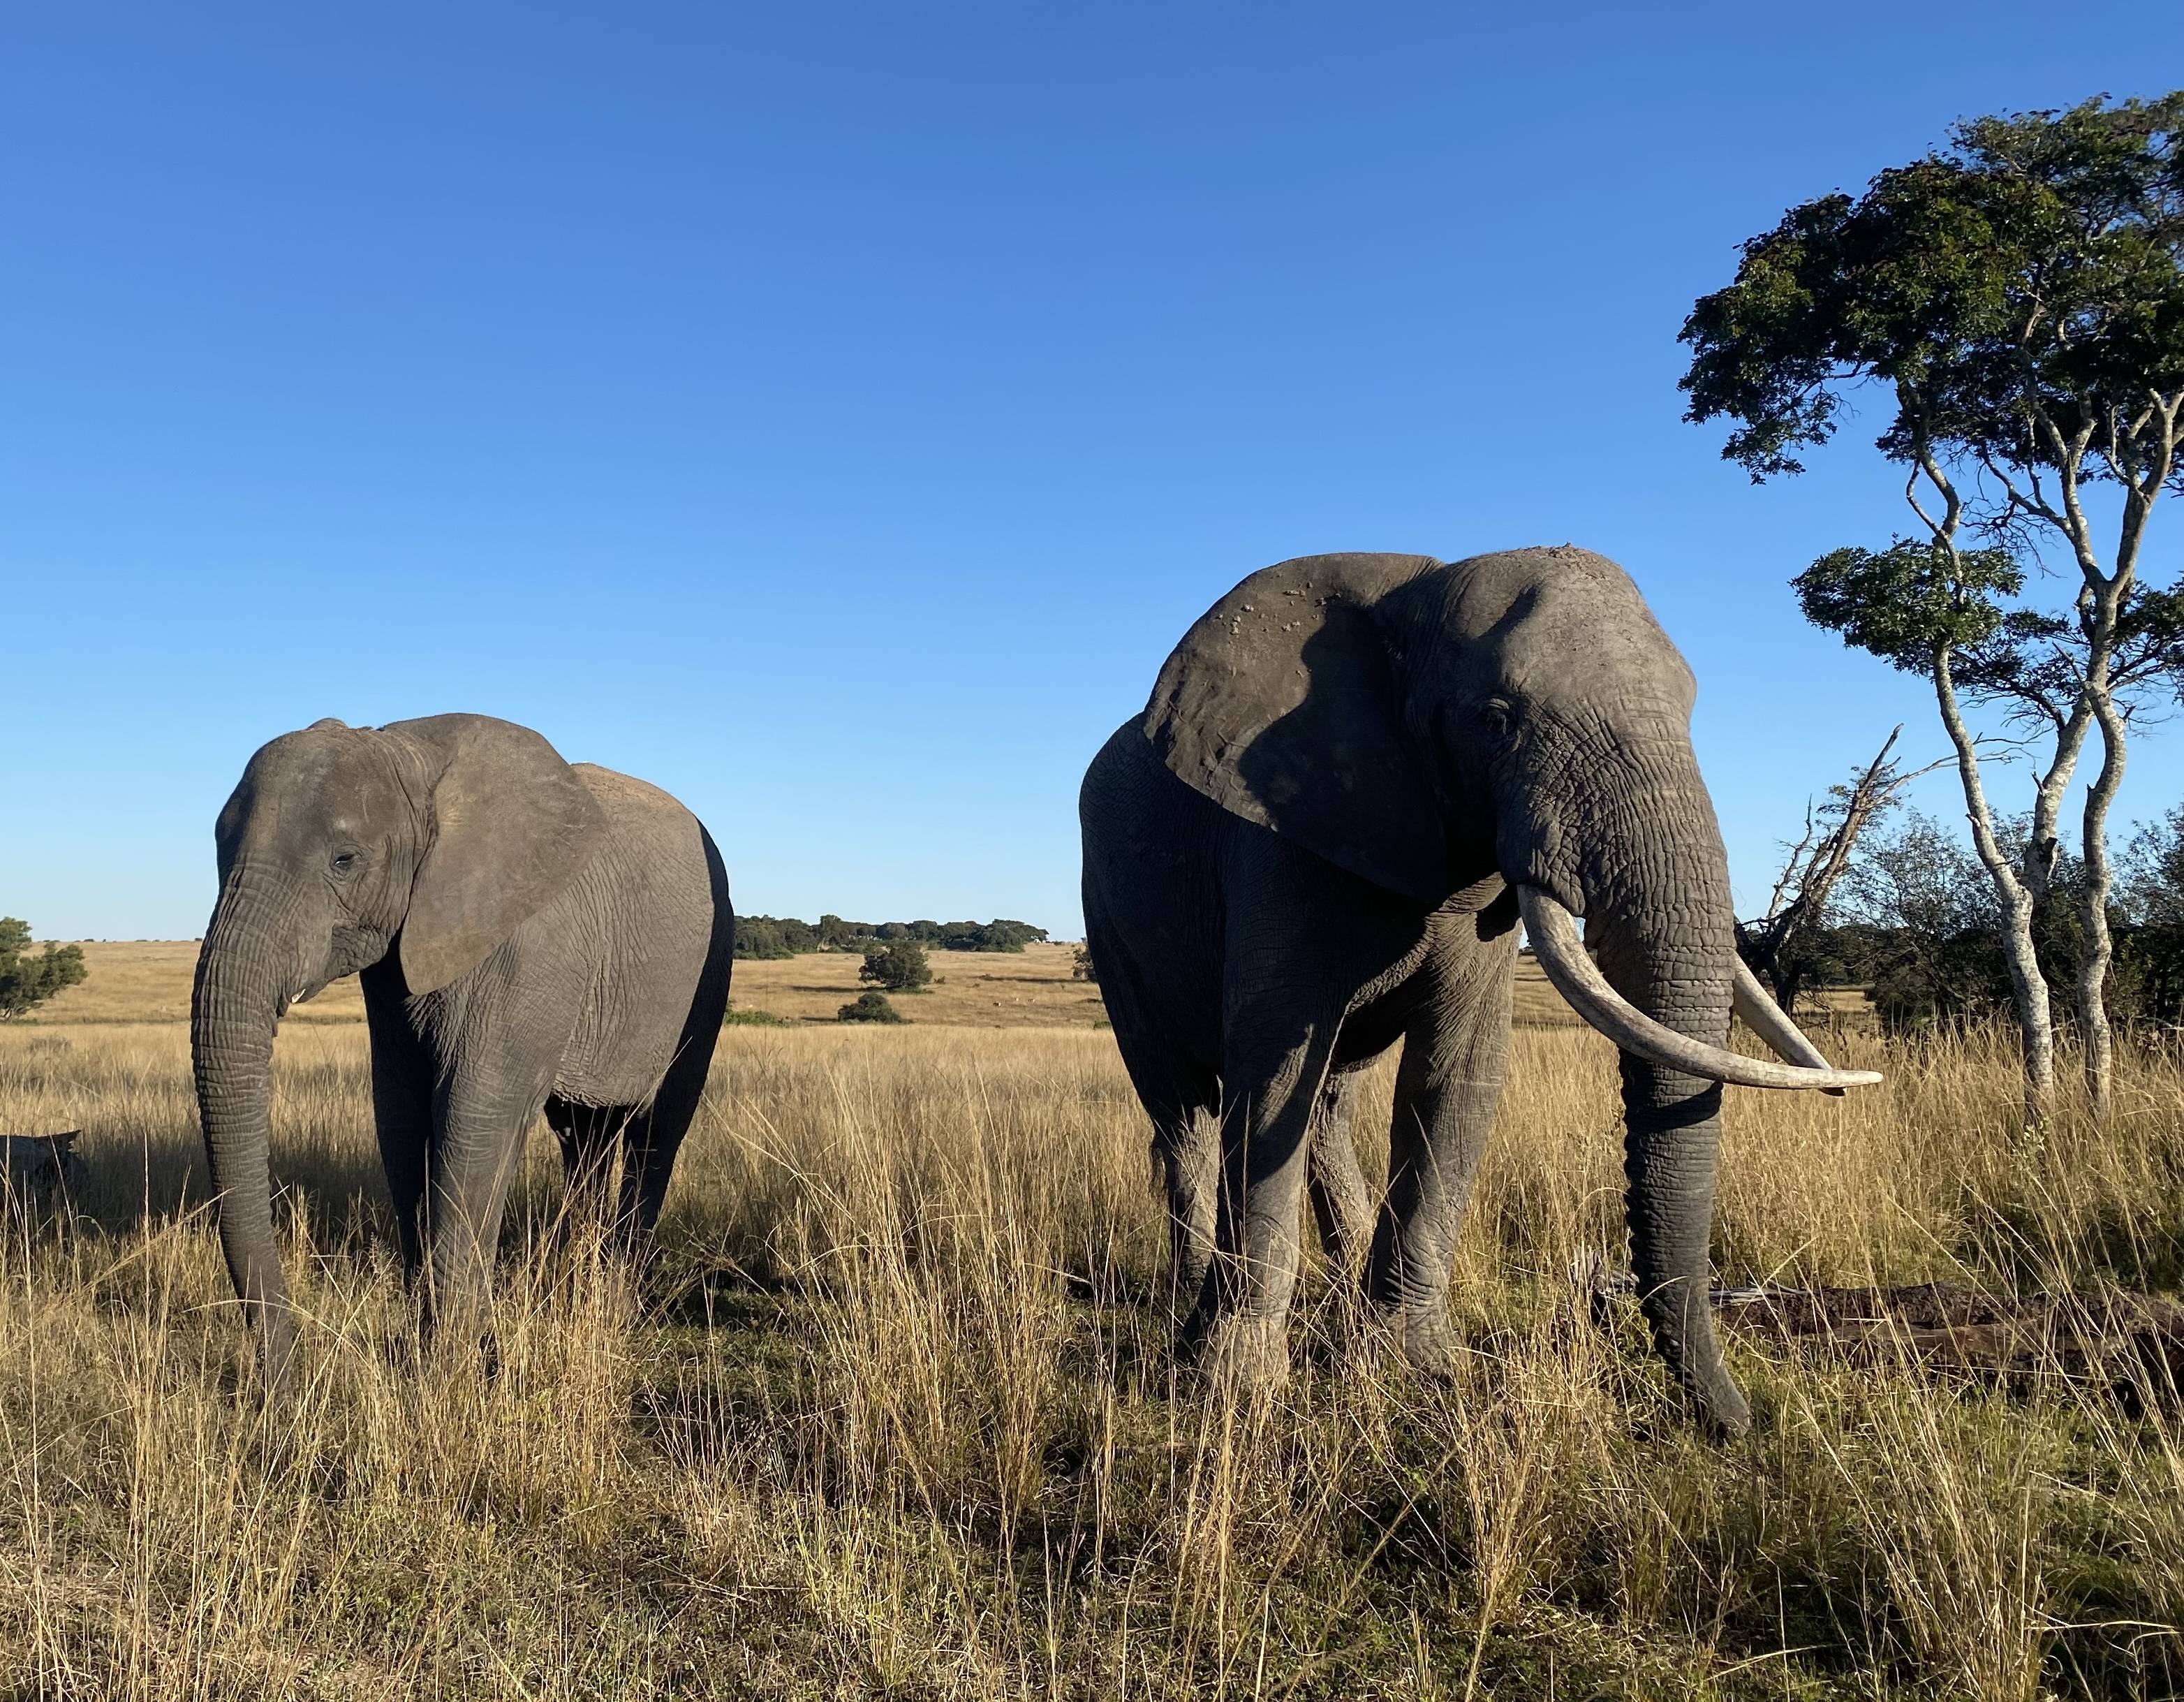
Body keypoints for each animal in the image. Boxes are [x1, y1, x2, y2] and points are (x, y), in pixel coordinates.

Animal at [191, 712, 734, 1389]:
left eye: (346, 860)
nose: (281, 1388)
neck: (409, 756)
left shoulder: (530, 945)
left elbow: (474, 1118)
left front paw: (451, 1371)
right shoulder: (395, 965)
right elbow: (401, 1118)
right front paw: (428, 1355)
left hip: (708, 969)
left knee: (656, 1132)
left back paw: (614, 1309)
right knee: (581, 1136)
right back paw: (573, 1292)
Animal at [1074, 548, 1878, 1441]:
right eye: (1494, 719)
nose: (1737, 1424)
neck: (1412, 596)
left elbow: (1454, 1078)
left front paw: (1416, 1370)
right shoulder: (1275, 837)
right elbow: (1271, 1069)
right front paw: (1235, 1392)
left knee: (1326, 1103)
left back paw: (1339, 1299)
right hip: (1107, 914)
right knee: (1182, 1107)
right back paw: (1187, 1311)